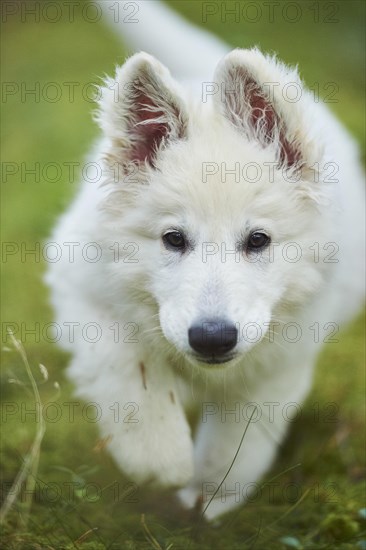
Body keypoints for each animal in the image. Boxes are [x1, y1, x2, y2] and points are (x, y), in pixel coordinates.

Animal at [45, 0, 364, 520]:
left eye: (258, 240)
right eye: (173, 239)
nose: (212, 338)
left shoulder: (284, 353)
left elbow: (239, 436)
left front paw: (210, 494)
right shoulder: (84, 291)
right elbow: (130, 375)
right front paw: (160, 461)